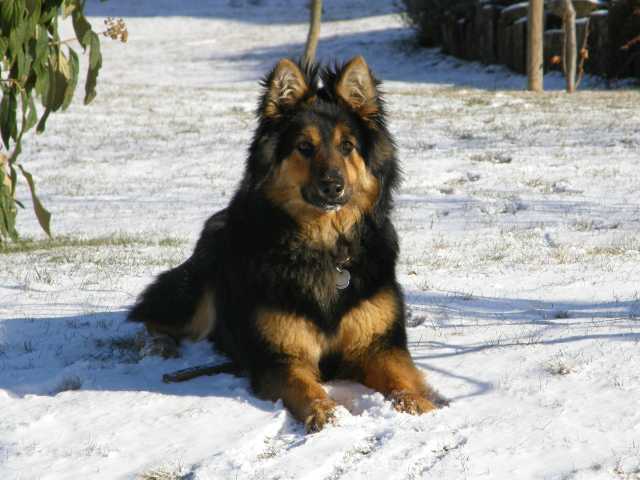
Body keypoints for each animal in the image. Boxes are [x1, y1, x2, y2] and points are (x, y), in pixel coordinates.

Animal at [129, 56, 442, 432]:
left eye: (347, 146)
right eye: (304, 147)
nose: (333, 186)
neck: (325, 246)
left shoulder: (378, 345)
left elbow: (401, 379)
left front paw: (421, 407)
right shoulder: (280, 356)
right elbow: (304, 387)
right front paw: (327, 413)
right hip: (195, 295)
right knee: (149, 317)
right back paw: (158, 347)